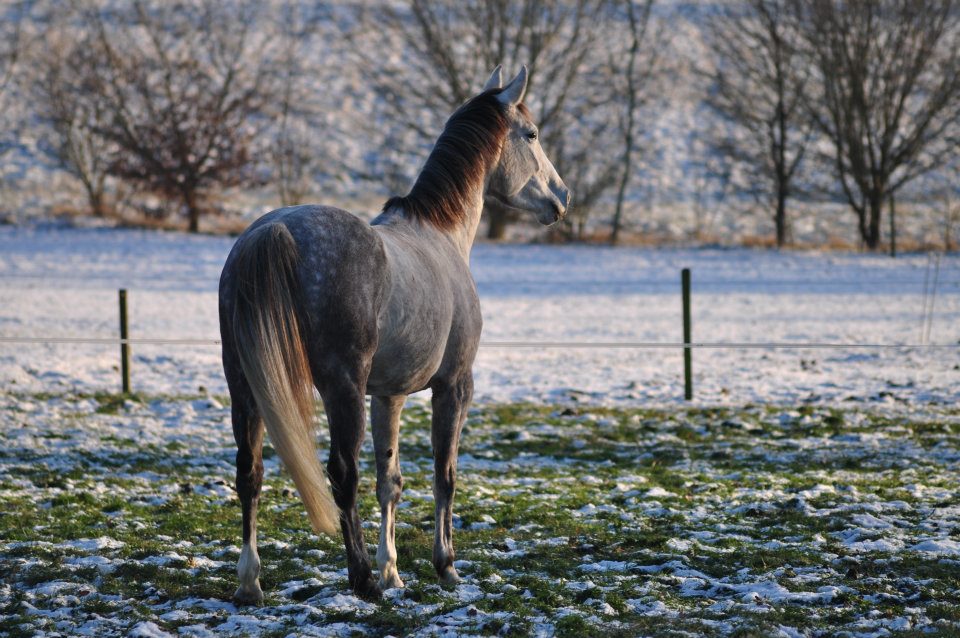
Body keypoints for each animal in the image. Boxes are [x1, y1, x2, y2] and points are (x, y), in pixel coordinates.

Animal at [218, 66, 568, 604]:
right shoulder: (454, 386)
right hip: (341, 389)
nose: (561, 198)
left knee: (249, 472)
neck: (441, 235)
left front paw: (394, 571)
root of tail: (272, 231)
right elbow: (445, 475)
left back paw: (251, 582)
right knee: (342, 473)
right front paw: (445, 566)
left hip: (244, 387)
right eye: (531, 135)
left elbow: (392, 481)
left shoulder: (390, 395)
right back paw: (360, 578)